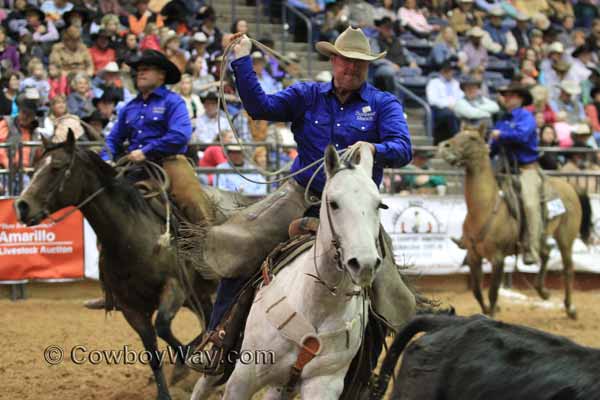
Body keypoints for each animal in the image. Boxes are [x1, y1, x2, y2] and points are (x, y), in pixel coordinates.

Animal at [13, 132, 253, 400]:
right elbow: (152, 349)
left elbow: (163, 327)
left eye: (56, 167)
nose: (22, 206)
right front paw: (167, 388)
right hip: (197, 295)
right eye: (34, 168)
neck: (131, 234)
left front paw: (185, 364)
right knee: (211, 319)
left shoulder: (174, 287)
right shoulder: (131, 308)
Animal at [192, 144, 386, 400]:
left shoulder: (323, 384)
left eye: (379, 205)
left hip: (279, 386)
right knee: (203, 383)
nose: (364, 263)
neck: (318, 304)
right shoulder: (243, 377)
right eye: (333, 203)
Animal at [438, 126, 592, 320]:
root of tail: (570, 186)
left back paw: (570, 308)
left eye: (472, 138)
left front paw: (491, 313)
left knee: (568, 268)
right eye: (457, 134)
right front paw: (489, 310)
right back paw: (543, 291)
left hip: (566, 237)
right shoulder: (474, 256)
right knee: (545, 253)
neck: (485, 208)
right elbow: (476, 291)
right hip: (540, 235)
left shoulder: (498, 258)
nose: (444, 147)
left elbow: (493, 293)